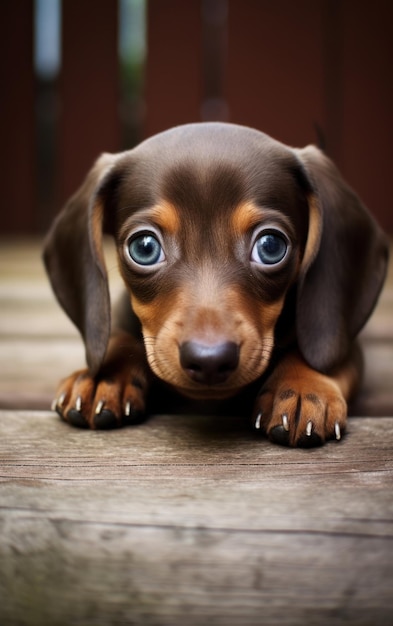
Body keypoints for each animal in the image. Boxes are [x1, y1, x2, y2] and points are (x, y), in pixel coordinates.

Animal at [42, 120, 386, 444]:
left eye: (271, 246)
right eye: (144, 248)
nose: (209, 361)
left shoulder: (343, 341)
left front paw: (303, 386)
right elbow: (119, 336)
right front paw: (103, 377)